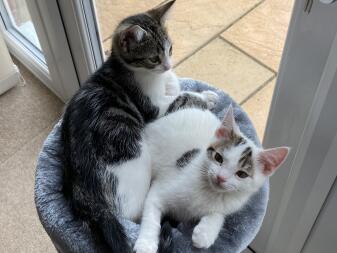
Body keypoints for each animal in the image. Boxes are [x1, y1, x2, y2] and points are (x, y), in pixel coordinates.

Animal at [59, 0, 215, 252]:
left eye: (170, 50)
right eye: (153, 58)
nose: (168, 65)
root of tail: (91, 202)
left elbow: (175, 85)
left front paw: (180, 83)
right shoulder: (153, 108)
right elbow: (181, 96)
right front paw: (207, 97)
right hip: (137, 160)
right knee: (140, 212)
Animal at [134, 105, 288, 253]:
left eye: (242, 174)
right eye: (218, 158)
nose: (221, 177)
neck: (209, 192)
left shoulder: (230, 204)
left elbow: (219, 213)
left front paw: (205, 233)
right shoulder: (163, 187)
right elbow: (151, 213)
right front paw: (146, 245)